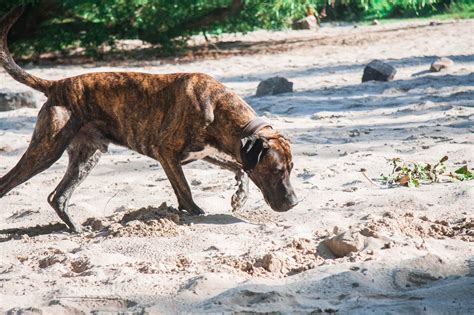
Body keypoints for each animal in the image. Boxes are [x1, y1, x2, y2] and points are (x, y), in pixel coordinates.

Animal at [0, 6, 296, 232]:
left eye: (291, 169)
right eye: (276, 170)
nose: (294, 203)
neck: (218, 108)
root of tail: (56, 85)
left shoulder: (208, 151)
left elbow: (238, 169)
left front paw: (239, 197)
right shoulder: (166, 152)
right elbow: (185, 188)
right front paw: (194, 211)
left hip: (86, 157)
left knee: (58, 196)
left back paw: (75, 228)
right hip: (45, 151)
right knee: (8, 183)